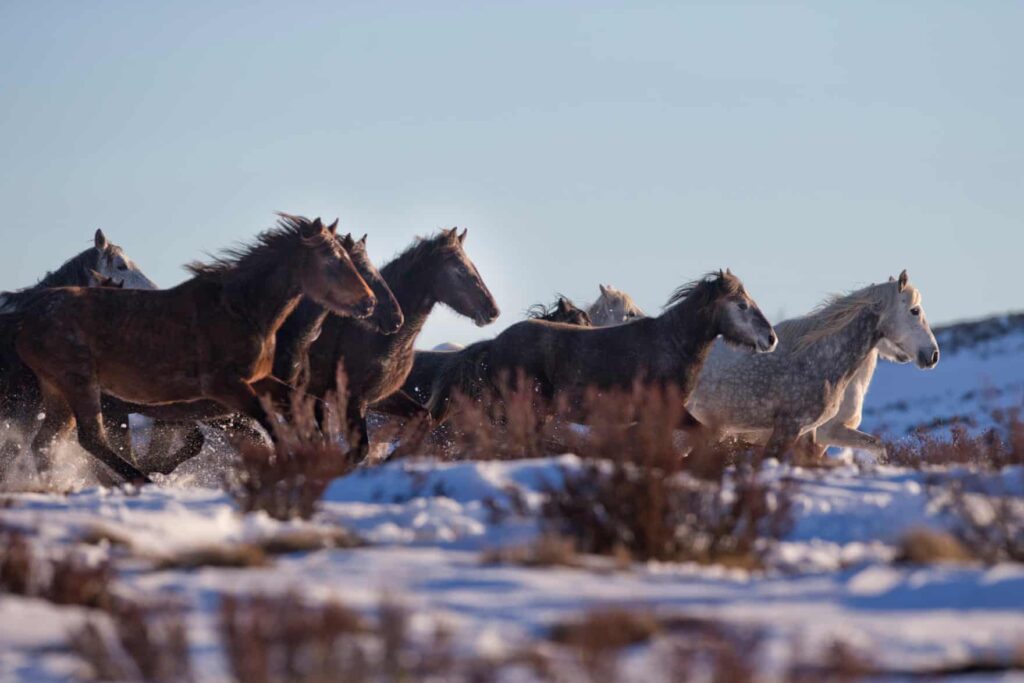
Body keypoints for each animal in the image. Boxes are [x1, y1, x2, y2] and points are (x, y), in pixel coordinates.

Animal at [7, 215, 376, 484]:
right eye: (331, 261)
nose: (369, 303)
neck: (242, 310)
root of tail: (27, 315)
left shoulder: (259, 381)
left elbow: (308, 406)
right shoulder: (224, 387)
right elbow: (269, 424)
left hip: (58, 391)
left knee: (47, 442)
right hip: (79, 384)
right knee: (89, 438)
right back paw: (139, 481)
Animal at [303, 227, 499, 458]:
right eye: (460, 268)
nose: (493, 310)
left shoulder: (379, 397)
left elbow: (424, 419)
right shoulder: (353, 400)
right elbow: (359, 450)